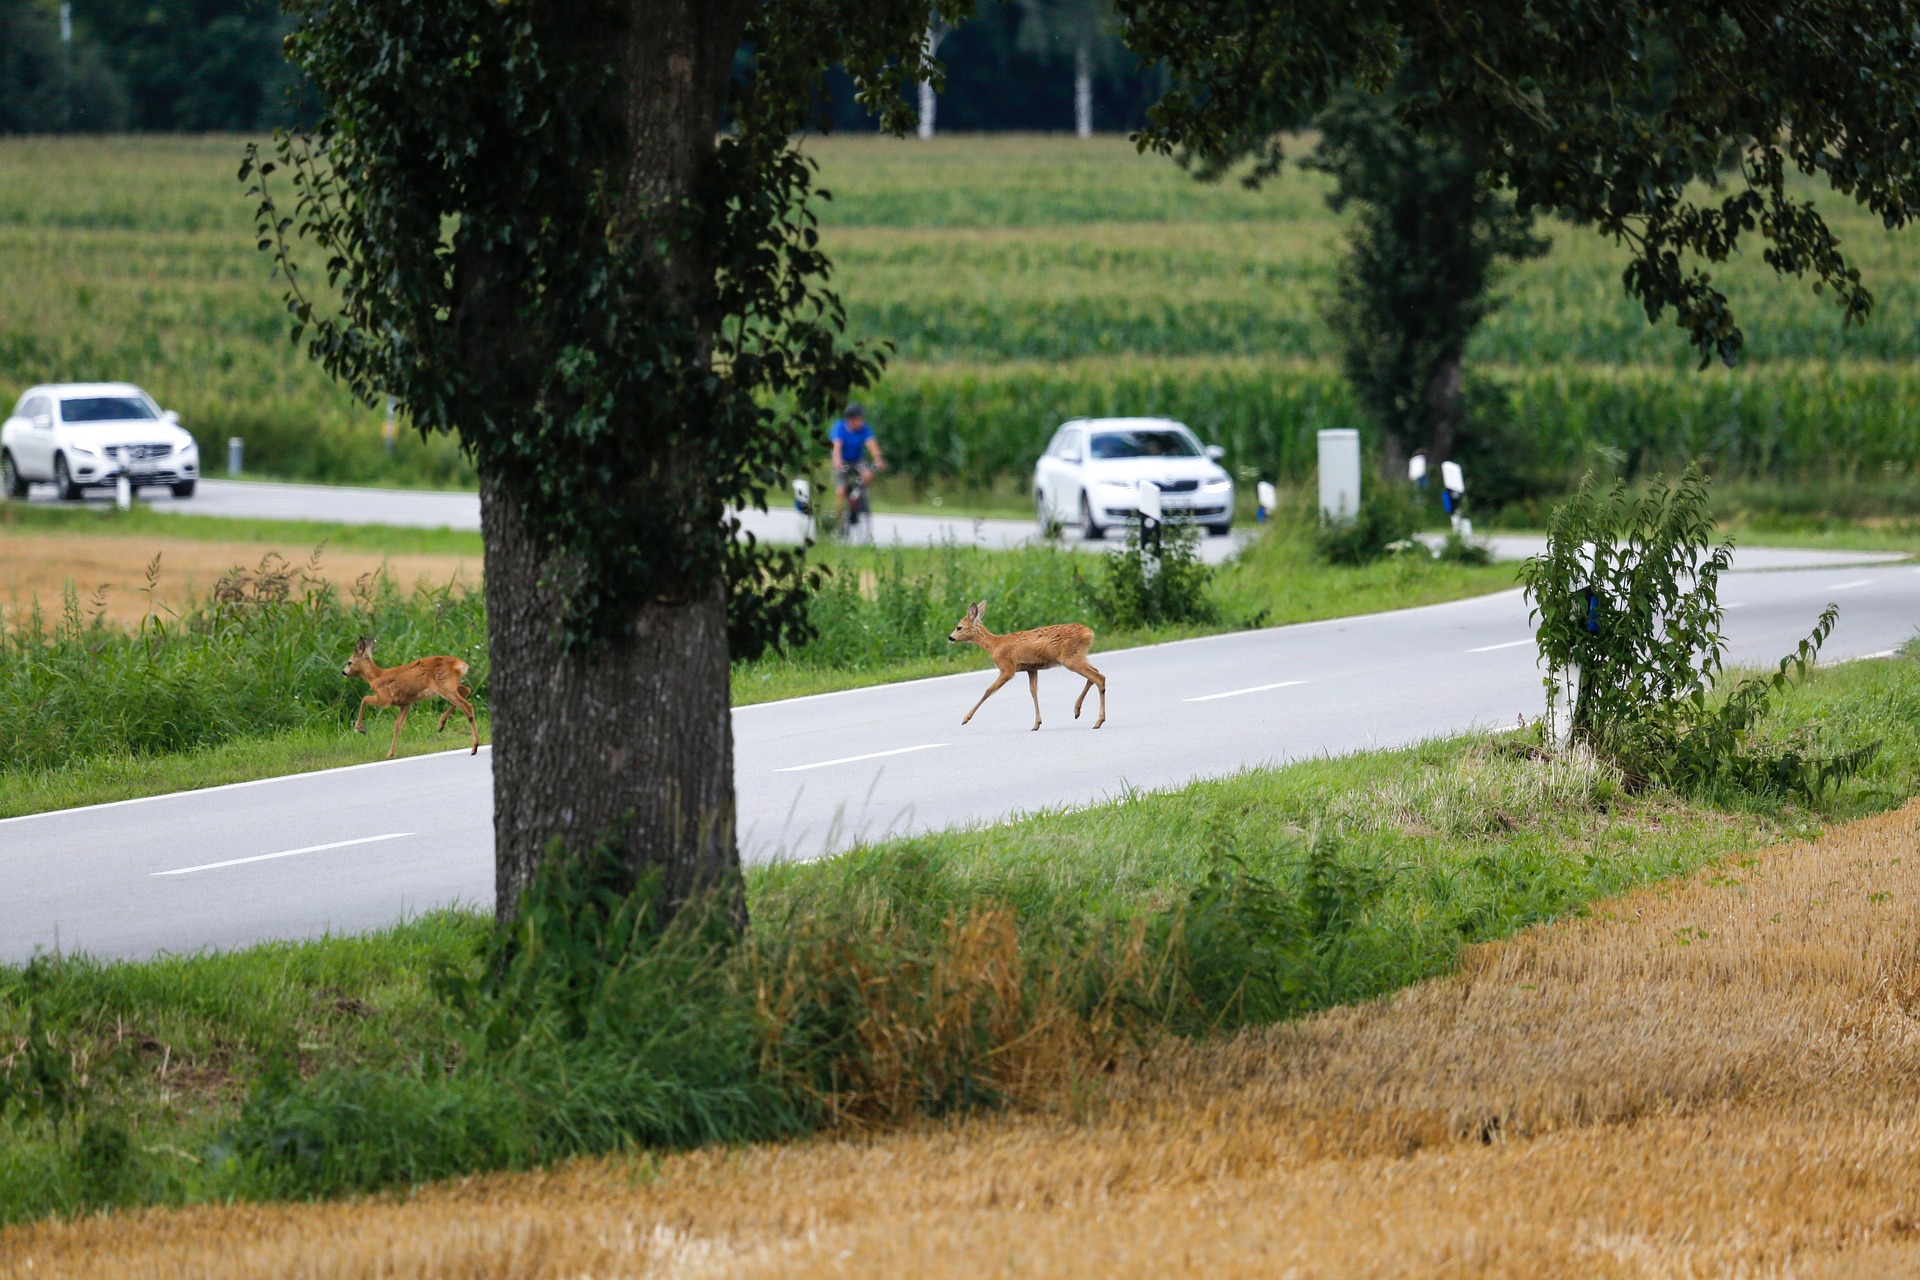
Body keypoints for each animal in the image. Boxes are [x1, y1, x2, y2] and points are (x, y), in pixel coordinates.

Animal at [337, 637, 476, 756]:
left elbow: (364, 699)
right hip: (451, 684)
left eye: (349, 662)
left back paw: (474, 747)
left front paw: (361, 729)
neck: (375, 677)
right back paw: (441, 724)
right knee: (467, 690)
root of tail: (460, 664)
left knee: (466, 705)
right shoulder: (405, 704)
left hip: (444, 685)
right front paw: (390, 753)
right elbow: (397, 726)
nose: (343, 672)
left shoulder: (384, 698)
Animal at [948, 602, 1105, 729]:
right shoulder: (1031, 668)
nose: (950, 638)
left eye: (959, 627)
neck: (994, 645)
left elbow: (988, 690)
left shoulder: (1007, 668)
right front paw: (1036, 724)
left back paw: (1098, 721)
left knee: (1099, 677)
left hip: (1070, 658)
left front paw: (965, 718)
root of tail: (1089, 633)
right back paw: (1077, 711)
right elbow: (1033, 691)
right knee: (1095, 674)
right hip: (1077, 656)